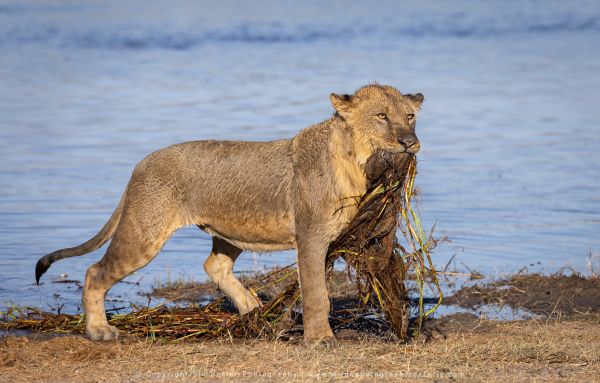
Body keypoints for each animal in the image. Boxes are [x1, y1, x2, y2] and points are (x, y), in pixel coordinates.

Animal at [36, 85, 422, 348]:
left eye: (410, 116)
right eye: (382, 116)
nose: (410, 142)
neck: (356, 161)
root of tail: (140, 165)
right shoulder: (310, 235)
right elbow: (316, 291)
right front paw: (320, 339)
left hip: (230, 230)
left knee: (214, 266)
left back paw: (252, 308)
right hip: (143, 232)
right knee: (95, 272)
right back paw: (99, 330)